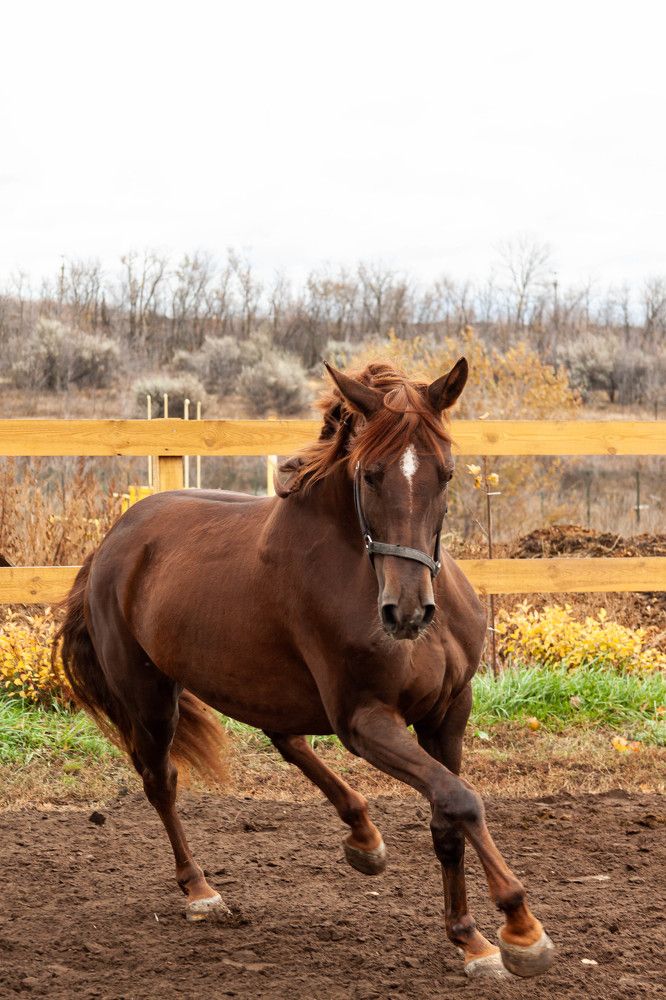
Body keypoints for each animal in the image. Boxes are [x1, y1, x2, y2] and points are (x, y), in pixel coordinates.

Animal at [57, 358, 555, 980]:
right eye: (370, 475)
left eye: (445, 473)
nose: (407, 613)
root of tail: (112, 541)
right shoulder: (365, 721)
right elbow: (461, 800)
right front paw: (520, 929)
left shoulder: (447, 713)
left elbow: (447, 814)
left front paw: (470, 940)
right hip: (149, 698)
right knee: (161, 781)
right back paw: (200, 891)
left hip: (264, 684)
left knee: (285, 738)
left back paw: (363, 836)